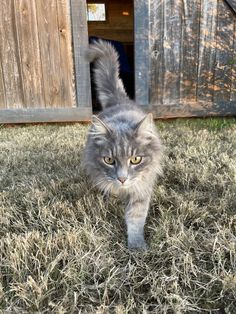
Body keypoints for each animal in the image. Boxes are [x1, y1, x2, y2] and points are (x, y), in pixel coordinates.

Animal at [83, 39, 162, 250]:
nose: (122, 179)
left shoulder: (142, 188)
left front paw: (136, 246)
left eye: (135, 159)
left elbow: (135, 218)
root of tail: (120, 101)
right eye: (109, 160)